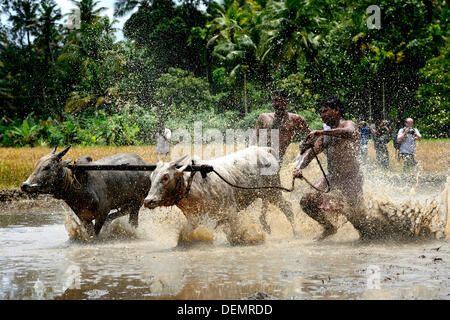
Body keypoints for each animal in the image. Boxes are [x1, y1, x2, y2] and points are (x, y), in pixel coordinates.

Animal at [21, 146, 152, 236]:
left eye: (47, 167)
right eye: (36, 165)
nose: (24, 185)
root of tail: (143, 162)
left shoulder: (102, 213)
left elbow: (96, 233)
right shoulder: (84, 218)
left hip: (138, 201)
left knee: (133, 220)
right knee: (122, 212)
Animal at [142, 146, 294, 239]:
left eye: (165, 177)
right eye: (151, 177)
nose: (148, 201)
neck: (194, 185)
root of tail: (264, 150)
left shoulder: (229, 212)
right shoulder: (194, 218)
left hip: (273, 192)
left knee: (288, 209)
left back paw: (295, 232)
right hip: (265, 194)